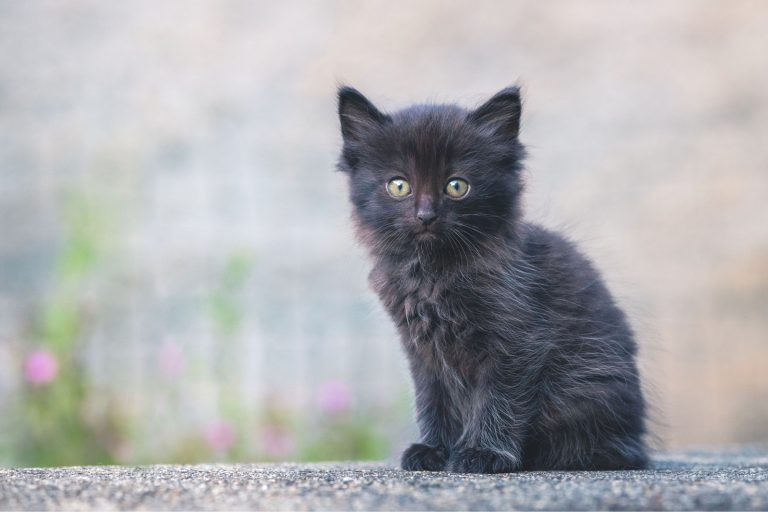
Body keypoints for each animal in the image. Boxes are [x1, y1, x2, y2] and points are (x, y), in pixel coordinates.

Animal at [336, 85, 648, 472]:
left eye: (457, 186)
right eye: (398, 186)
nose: (426, 216)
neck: (432, 273)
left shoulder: (518, 339)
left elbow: (499, 400)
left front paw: (484, 453)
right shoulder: (421, 349)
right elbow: (432, 400)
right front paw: (433, 450)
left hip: (589, 382)